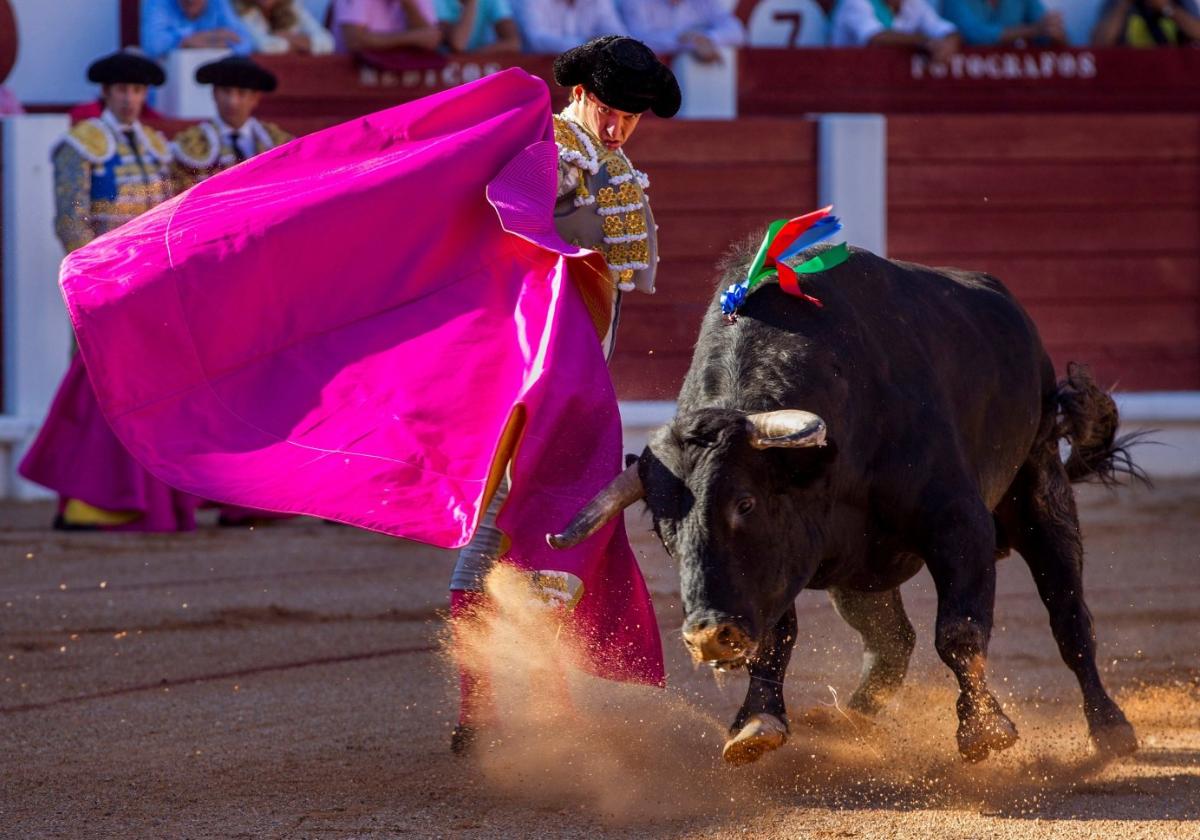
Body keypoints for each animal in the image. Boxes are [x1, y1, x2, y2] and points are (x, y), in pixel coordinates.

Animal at [549, 244, 1137, 768]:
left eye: (745, 502)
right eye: (663, 531)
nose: (708, 635)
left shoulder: (957, 523)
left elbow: (960, 630)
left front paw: (984, 729)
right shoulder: (789, 564)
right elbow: (777, 637)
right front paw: (757, 723)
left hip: (1040, 487)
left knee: (1069, 617)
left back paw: (1111, 728)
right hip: (858, 576)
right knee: (892, 642)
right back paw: (849, 724)